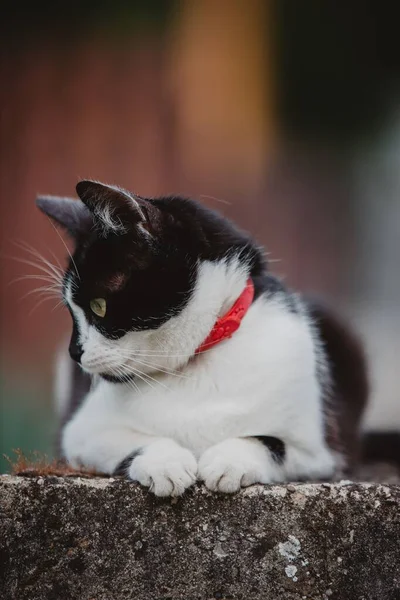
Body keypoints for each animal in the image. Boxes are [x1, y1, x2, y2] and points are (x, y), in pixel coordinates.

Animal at [36, 179, 368, 496]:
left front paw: (230, 461)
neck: (196, 359)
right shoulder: (79, 432)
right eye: (70, 310)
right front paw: (165, 463)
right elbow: (130, 439)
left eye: (99, 306)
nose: (74, 352)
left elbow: (272, 442)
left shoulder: (320, 453)